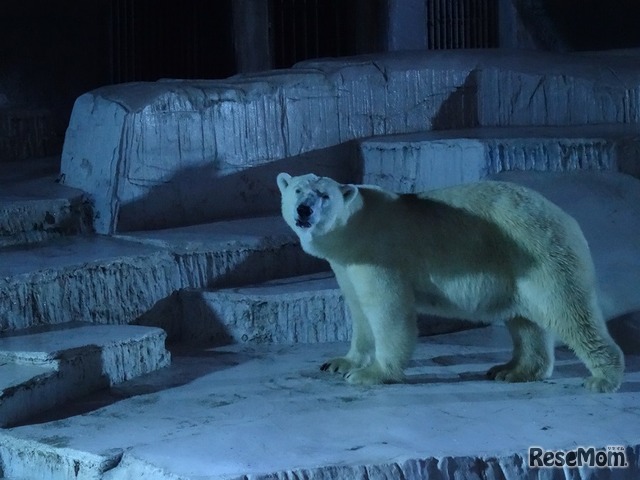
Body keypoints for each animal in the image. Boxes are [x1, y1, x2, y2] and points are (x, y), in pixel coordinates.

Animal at [276, 172, 624, 394]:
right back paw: (511, 370)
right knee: (525, 320)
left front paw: (371, 374)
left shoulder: (379, 253)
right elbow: (359, 311)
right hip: (516, 269)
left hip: (537, 252)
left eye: (324, 195)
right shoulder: (346, 264)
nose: (303, 210)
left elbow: (387, 310)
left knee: (567, 309)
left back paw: (602, 377)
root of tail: (567, 218)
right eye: (297, 190)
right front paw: (339, 363)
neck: (356, 225)